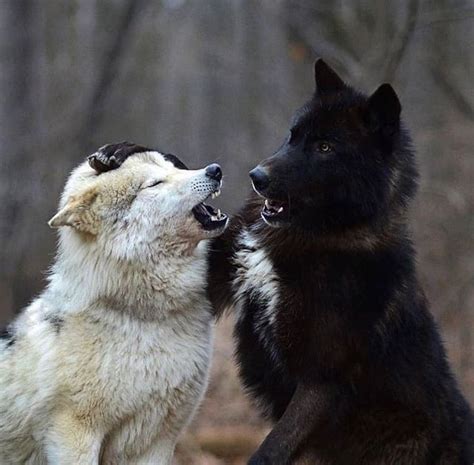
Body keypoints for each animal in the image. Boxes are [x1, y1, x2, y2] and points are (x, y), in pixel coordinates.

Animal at [0, 150, 228, 462]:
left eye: (174, 167)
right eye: (155, 183)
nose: (215, 170)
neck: (142, 317)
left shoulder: (158, 440)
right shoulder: (75, 435)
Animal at [90, 60, 472, 464]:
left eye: (324, 147)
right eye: (293, 136)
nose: (256, 176)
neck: (309, 238)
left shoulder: (319, 384)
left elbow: (270, 450)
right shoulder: (215, 279)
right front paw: (123, 151)